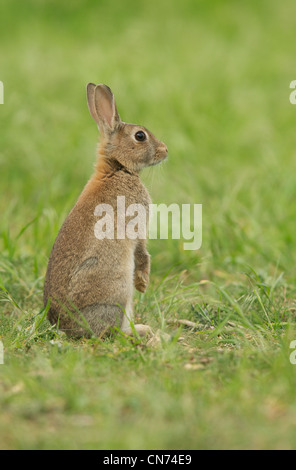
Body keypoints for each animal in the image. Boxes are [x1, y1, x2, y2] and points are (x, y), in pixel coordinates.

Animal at [44, 83, 169, 338]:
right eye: (140, 136)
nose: (165, 150)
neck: (117, 168)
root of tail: (66, 327)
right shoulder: (137, 224)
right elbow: (142, 253)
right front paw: (143, 283)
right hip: (117, 292)